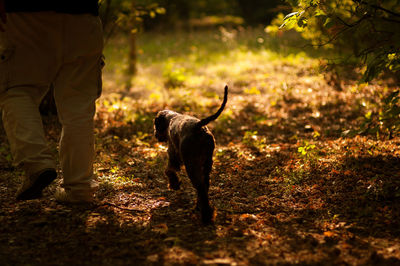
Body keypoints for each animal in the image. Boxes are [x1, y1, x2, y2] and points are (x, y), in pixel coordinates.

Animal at [154, 85, 228, 224]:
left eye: (156, 125)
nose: (155, 135)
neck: (171, 119)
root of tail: (198, 127)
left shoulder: (173, 154)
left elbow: (169, 170)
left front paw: (174, 184)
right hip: (207, 164)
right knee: (205, 185)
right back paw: (200, 208)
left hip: (191, 165)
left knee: (200, 187)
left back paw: (206, 216)